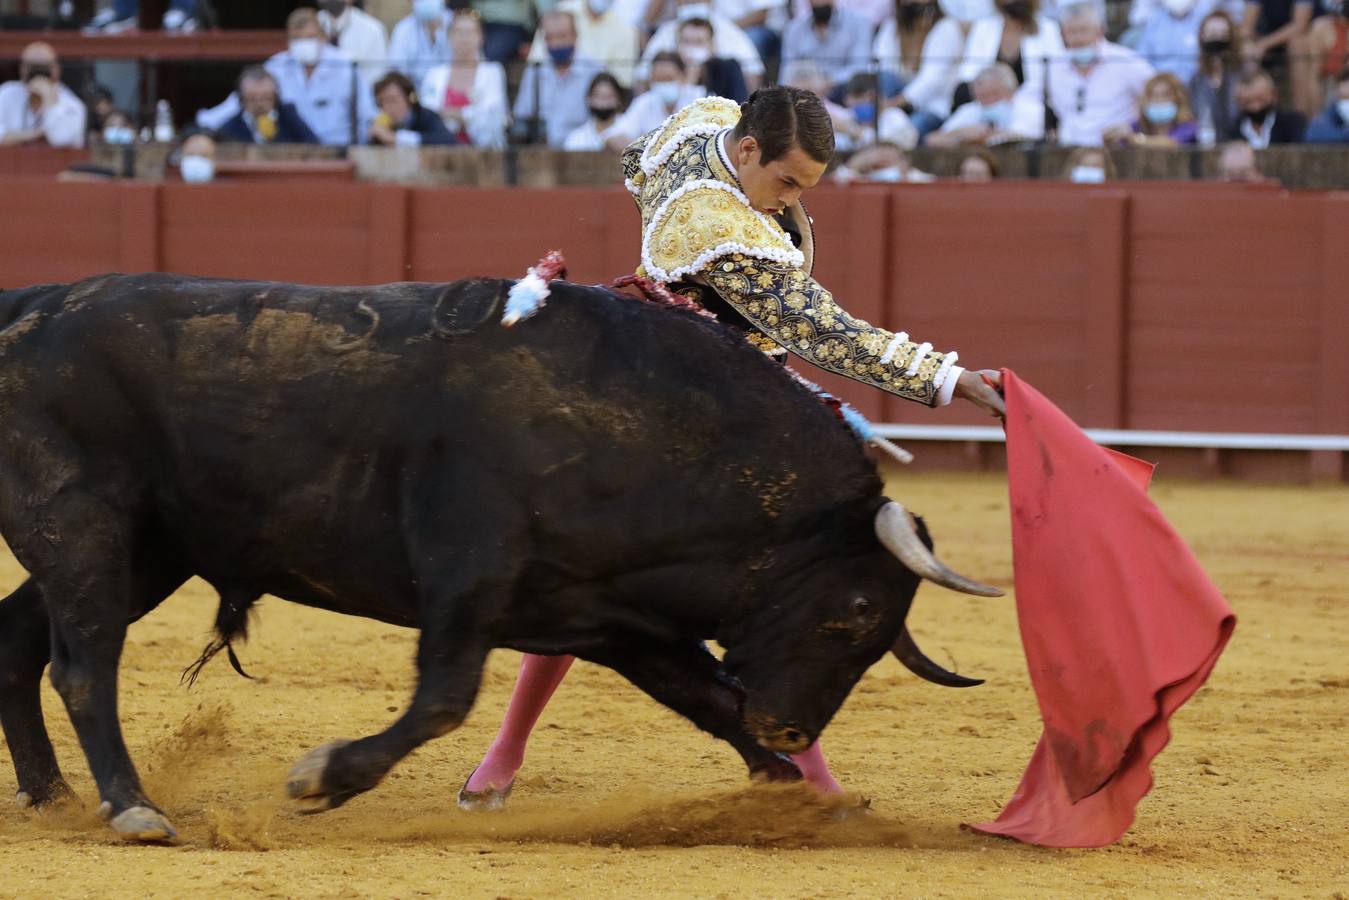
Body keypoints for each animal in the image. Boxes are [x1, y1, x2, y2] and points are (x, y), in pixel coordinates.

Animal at [0, 271, 1003, 841]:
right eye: (859, 610)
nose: (793, 728)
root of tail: (24, 310)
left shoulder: (614, 617)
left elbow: (709, 699)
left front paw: (805, 799)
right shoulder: (466, 575)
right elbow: (445, 698)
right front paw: (323, 777)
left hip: (147, 551)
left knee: (21, 645)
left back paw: (54, 796)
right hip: (83, 525)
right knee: (83, 665)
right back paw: (132, 807)